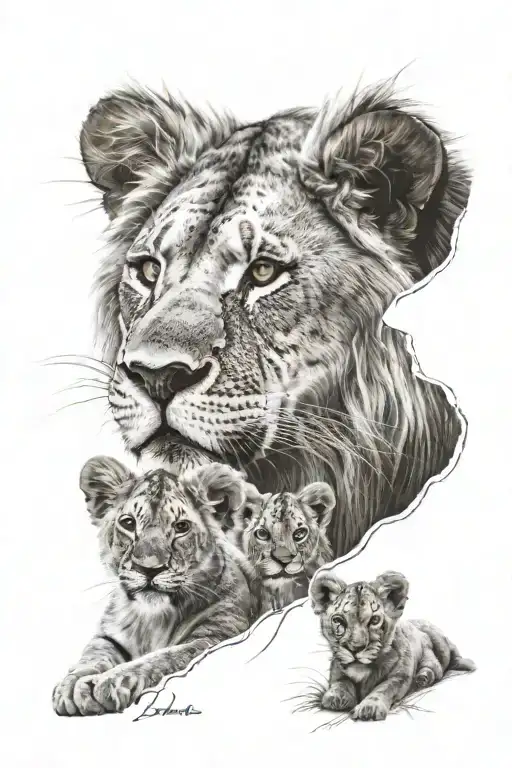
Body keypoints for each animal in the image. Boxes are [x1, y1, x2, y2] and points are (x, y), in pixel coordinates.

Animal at [52, 457, 260, 716]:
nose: (149, 569)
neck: (153, 618)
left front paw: (110, 683)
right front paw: (71, 686)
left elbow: (163, 657)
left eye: (181, 527)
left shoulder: (216, 635)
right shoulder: (109, 636)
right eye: (128, 523)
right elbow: (93, 654)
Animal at [309, 569, 475, 721]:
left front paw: (369, 708)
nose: (355, 649)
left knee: (436, 668)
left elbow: (383, 688)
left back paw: (422, 678)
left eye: (375, 620)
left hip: (433, 648)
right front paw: (335, 697)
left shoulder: (400, 676)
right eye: (338, 621)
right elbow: (341, 683)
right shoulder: (337, 673)